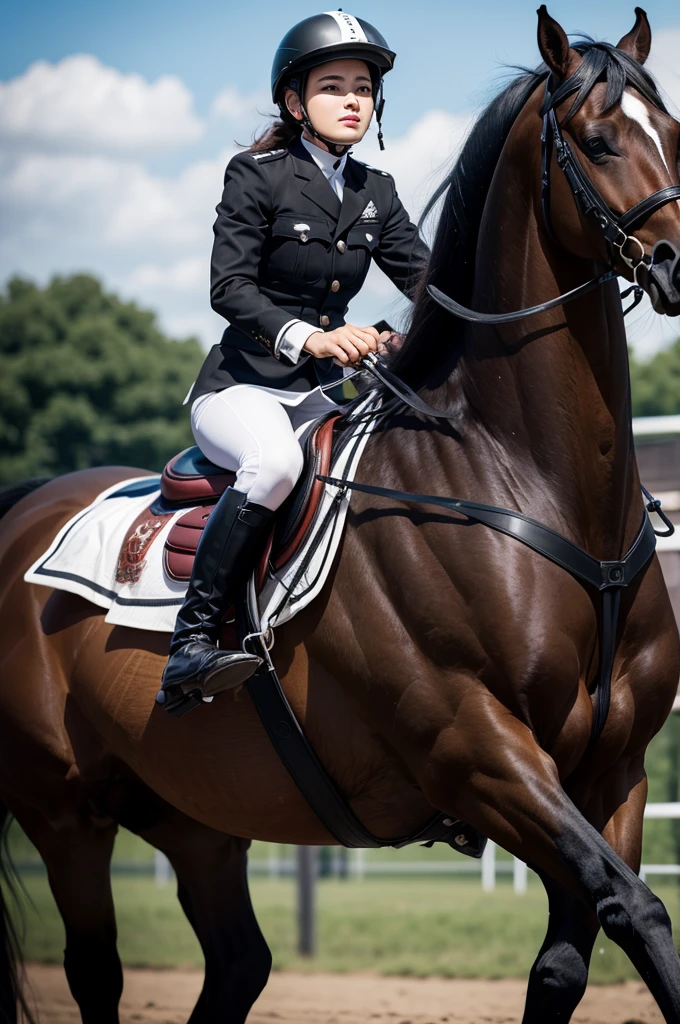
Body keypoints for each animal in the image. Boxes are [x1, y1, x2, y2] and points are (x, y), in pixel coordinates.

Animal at [1, 9, 680, 1024]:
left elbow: (579, 951)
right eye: (598, 142)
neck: (529, 481)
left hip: (195, 812)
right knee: (97, 971)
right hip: (64, 809)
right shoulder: (475, 752)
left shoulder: (614, 772)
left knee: (236, 963)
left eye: (672, 131)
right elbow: (636, 909)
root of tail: (27, 507)